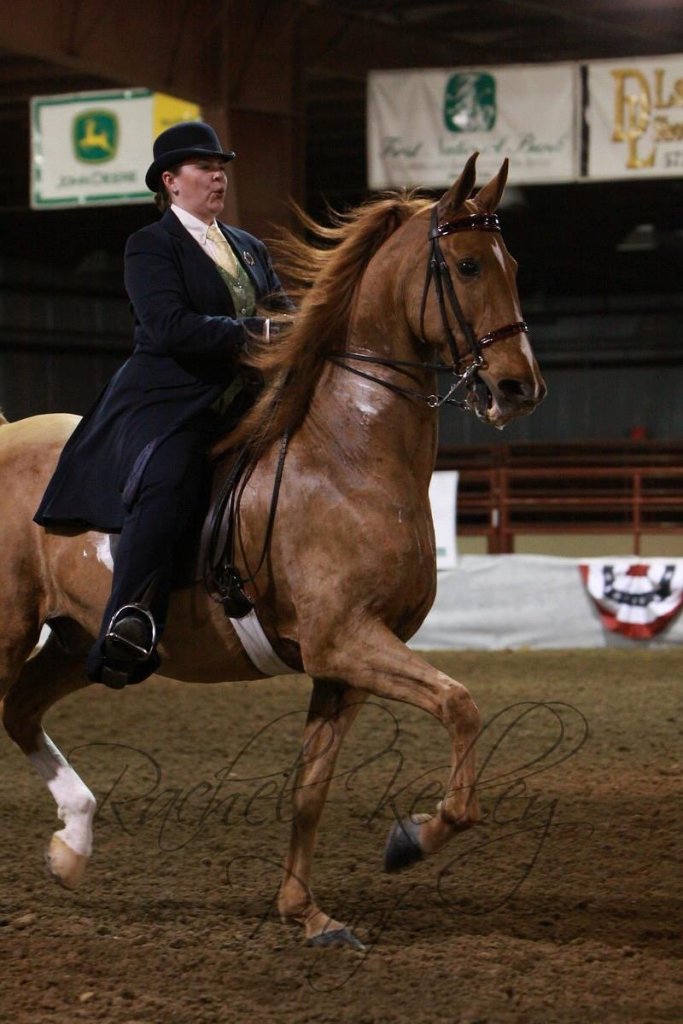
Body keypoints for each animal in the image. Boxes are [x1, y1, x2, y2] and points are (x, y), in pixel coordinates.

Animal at [0, 153, 546, 949]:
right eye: (469, 265)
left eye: (512, 264)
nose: (517, 387)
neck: (349, 454)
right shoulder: (345, 639)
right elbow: (461, 704)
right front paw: (413, 838)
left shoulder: (345, 663)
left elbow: (310, 786)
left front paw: (308, 914)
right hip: (10, 631)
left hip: (76, 642)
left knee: (19, 711)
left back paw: (72, 847)